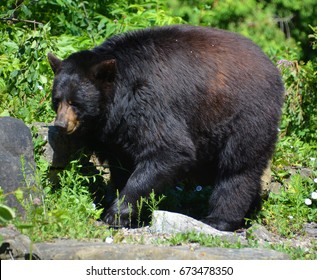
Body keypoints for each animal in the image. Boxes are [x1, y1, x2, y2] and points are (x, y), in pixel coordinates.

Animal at [47, 25, 284, 231]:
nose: (61, 124)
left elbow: (168, 150)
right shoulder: (117, 130)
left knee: (238, 168)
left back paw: (220, 219)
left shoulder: (149, 100)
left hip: (245, 115)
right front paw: (116, 202)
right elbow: (120, 164)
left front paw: (115, 214)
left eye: (75, 103)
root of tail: (273, 69)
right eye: (57, 100)